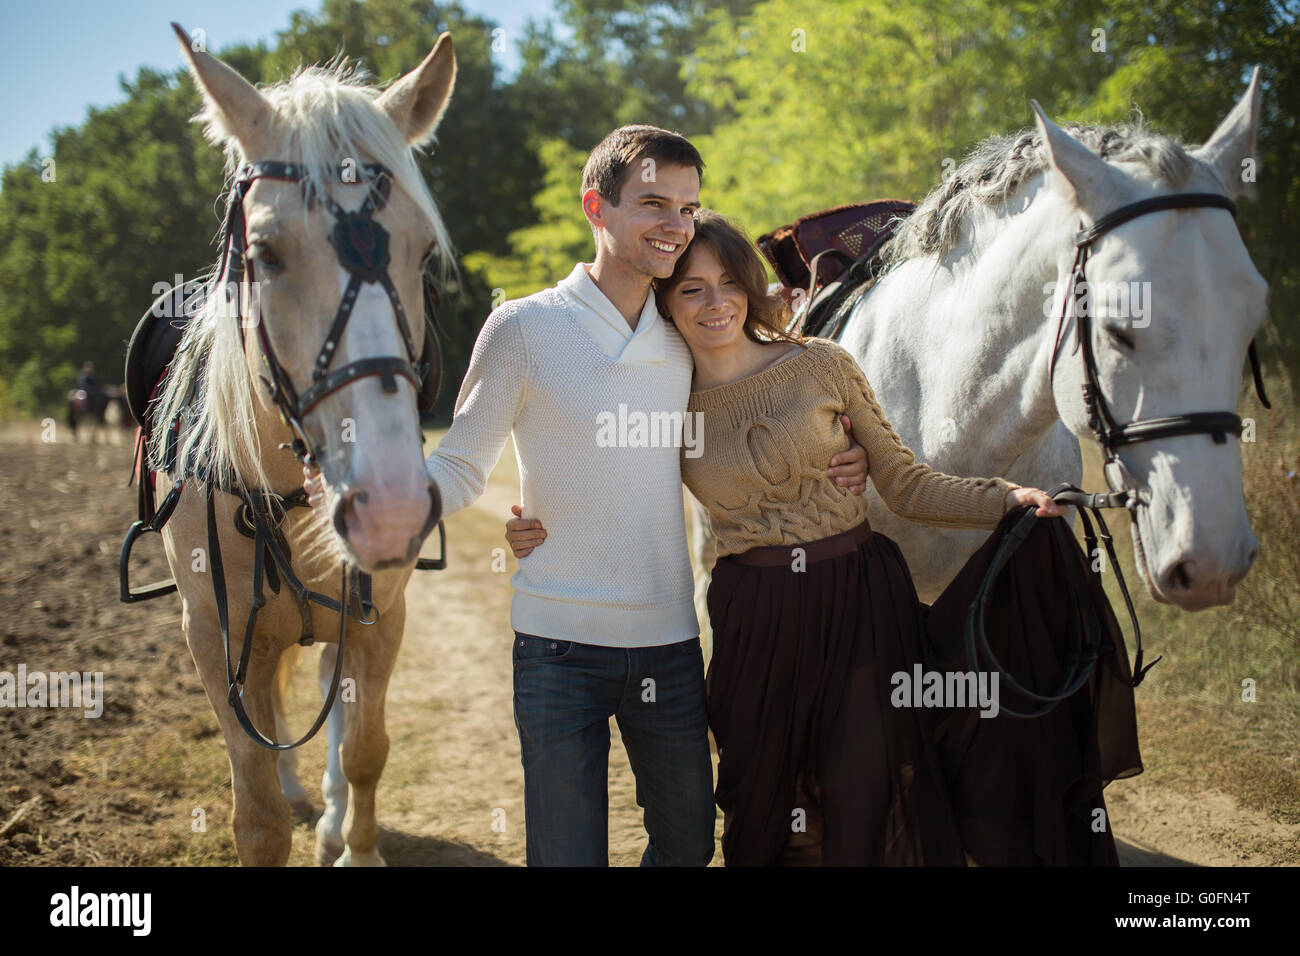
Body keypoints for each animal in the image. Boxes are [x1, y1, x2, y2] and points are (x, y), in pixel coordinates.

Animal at [148, 27, 457, 868]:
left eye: (421, 256)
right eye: (267, 255)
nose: (389, 510)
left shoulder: (381, 616)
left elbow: (365, 750)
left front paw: (355, 844)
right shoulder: (214, 636)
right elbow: (255, 810)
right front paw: (282, 806)